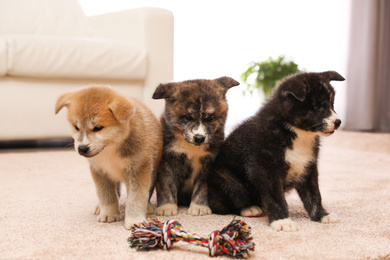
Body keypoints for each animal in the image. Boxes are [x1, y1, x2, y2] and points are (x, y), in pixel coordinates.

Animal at [54, 86, 161, 229]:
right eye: (76, 127)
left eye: (98, 128)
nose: (82, 148)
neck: (111, 149)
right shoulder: (100, 172)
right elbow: (106, 196)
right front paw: (109, 214)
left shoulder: (138, 170)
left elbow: (136, 198)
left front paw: (135, 220)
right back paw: (99, 207)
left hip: (152, 171)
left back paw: (148, 207)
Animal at [152, 76, 238, 216]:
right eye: (188, 117)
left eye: (210, 118)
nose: (199, 138)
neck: (191, 148)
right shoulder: (167, 162)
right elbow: (167, 186)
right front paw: (167, 207)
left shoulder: (208, 165)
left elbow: (202, 188)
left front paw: (199, 206)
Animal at [209, 71, 346, 232]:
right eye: (316, 106)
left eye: (331, 103)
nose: (337, 122)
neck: (293, 131)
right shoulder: (266, 169)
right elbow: (275, 197)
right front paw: (282, 221)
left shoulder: (308, 167)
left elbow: (314, 194)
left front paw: (322, 215)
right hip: (227, 179)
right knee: (222, 203)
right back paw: (249, 208)